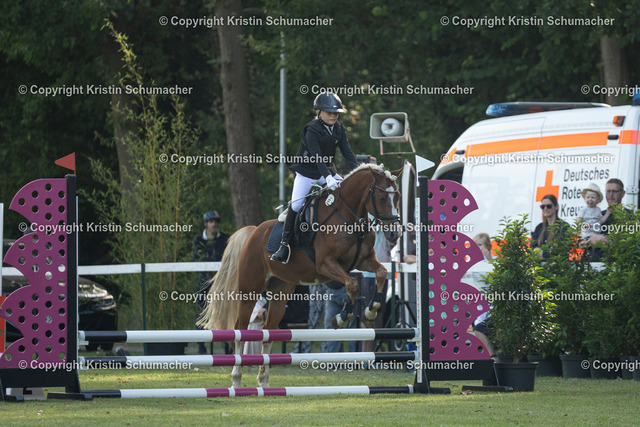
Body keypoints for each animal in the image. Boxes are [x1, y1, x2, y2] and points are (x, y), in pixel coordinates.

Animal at [198, 163, 402, 387]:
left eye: (398, 196)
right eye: (381, 198)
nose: (395, 233)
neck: (348, 216)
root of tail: (253, 232)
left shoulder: (363, 260)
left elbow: (381, 273)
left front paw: (370, 311)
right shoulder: (326, 264)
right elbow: (352, 284)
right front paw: (341, 318)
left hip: (280, 293)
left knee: (268, 331)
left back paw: (264, 381)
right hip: (249, 291)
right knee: (240, 329)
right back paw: (236, 379)